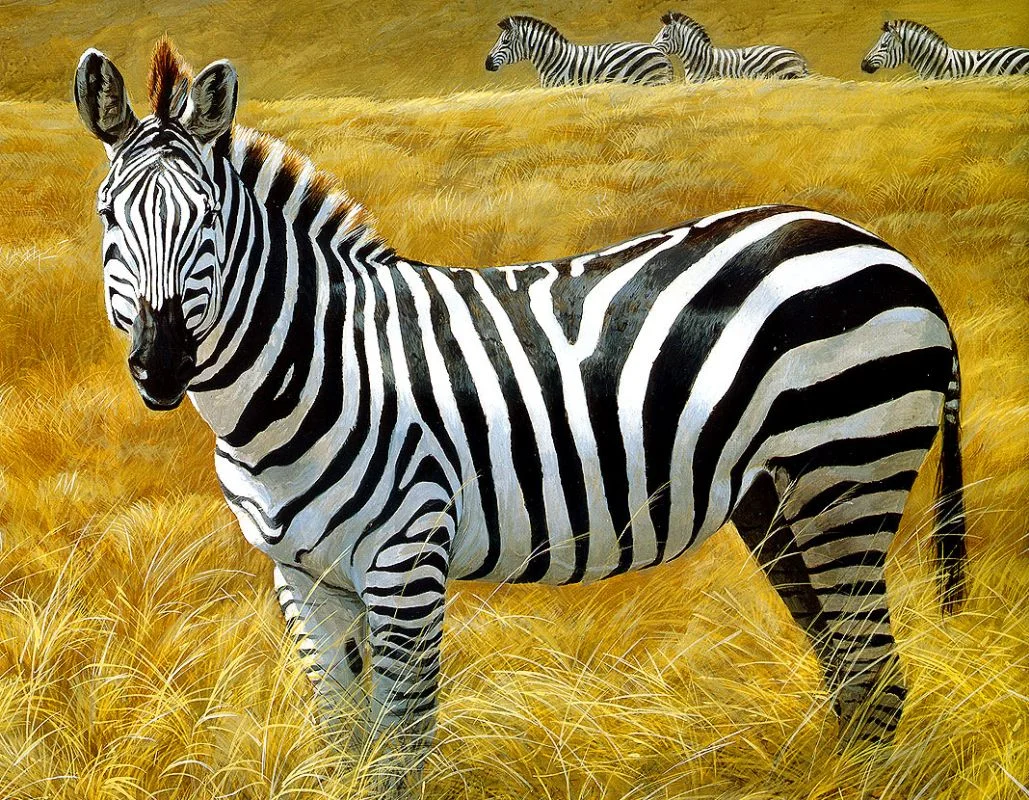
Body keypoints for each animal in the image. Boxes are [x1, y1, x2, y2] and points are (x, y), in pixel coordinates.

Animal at [75, 39, 967, 796]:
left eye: (207, 221)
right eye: (109, 217)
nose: (160, 365)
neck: (314, 368)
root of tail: (888, 253)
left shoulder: (407, 556)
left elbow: (399, 749)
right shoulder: (303, 575)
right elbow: (342, 740)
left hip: (846, 468)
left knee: (876, 675)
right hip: (775, 498)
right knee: (849, 673)